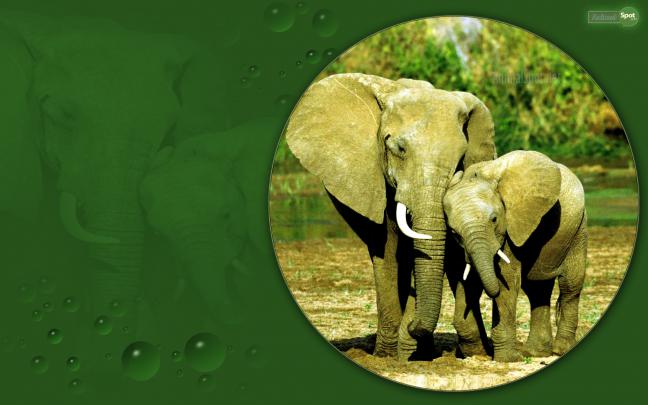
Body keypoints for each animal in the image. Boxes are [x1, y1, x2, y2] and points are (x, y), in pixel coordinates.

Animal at [284, 73, 496, 358]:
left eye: (461, 157)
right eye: (400, 149)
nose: (414, 324)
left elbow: (451, 250)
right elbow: (387, 249)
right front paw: (391, 355)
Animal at [443, 150, 587, 361]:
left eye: (494, 219)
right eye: (454, 232)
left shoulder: (512, 226)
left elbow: (507, 282)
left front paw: (507, 359)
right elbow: (468, 279)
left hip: (578, 229)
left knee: (570, 285)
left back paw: (560, 350)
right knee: (537, 290)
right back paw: (535, 353)